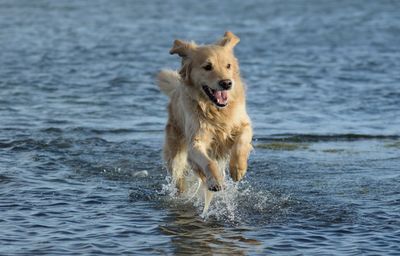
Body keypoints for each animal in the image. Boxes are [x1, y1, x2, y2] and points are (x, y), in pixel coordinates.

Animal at [157, 32, 253, 214]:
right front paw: (215, 181)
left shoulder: (243, 123)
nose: (227, 83)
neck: (215, 110)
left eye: (228, 65)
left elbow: (242, 141)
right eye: (207, 66)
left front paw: (238, 168)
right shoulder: (195, 142)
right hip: (176, 155)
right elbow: (208, 162)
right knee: (179, 177)